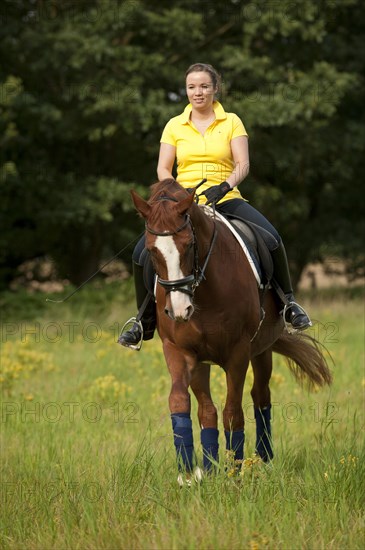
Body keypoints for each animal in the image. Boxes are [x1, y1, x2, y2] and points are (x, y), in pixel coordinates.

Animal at [129, 180, 332, 484]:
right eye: (152, 251)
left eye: (189, 245)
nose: (179, 310)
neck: (205, 289)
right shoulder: (180, 351)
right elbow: (183, 403)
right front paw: (191, 471)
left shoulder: (238, 353)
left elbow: (233, 412)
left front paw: (233, 472)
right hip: (204, 361)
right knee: (211, 409)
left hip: (261, 351)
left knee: (260, 397)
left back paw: (262, 460)